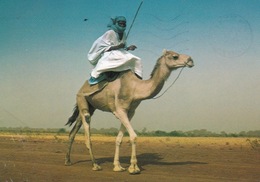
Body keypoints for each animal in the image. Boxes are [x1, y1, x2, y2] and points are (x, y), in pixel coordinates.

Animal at [65, 49, 194, 174]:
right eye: (175, 56)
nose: (191, 60)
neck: (135, 88)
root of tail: (82, 87)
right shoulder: (120, 110)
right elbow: (133, 136)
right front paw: (133, 167)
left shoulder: (130, 112)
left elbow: (119, 139)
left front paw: (117, 166)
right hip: (81, 98)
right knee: (86, 122)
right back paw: (95, 164)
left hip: (90, 105)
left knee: (74, 130)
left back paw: (68, 161)